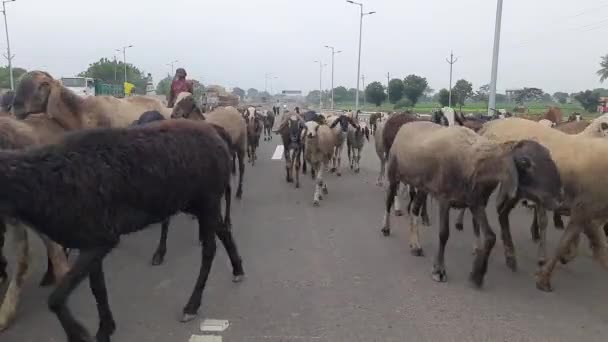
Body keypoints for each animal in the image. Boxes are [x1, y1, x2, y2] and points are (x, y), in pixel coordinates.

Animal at [0, 119, 245, 340]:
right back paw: (238, 270)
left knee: (209, 249)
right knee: (223, 230)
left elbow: (56, 298)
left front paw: (79, 333)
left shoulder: (103, 239)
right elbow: (98, 289)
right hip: (194, 203)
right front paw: (105, 329)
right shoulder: (89, 243)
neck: (42, 185)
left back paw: (191, 306)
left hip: (208, 200)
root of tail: (219, 136)